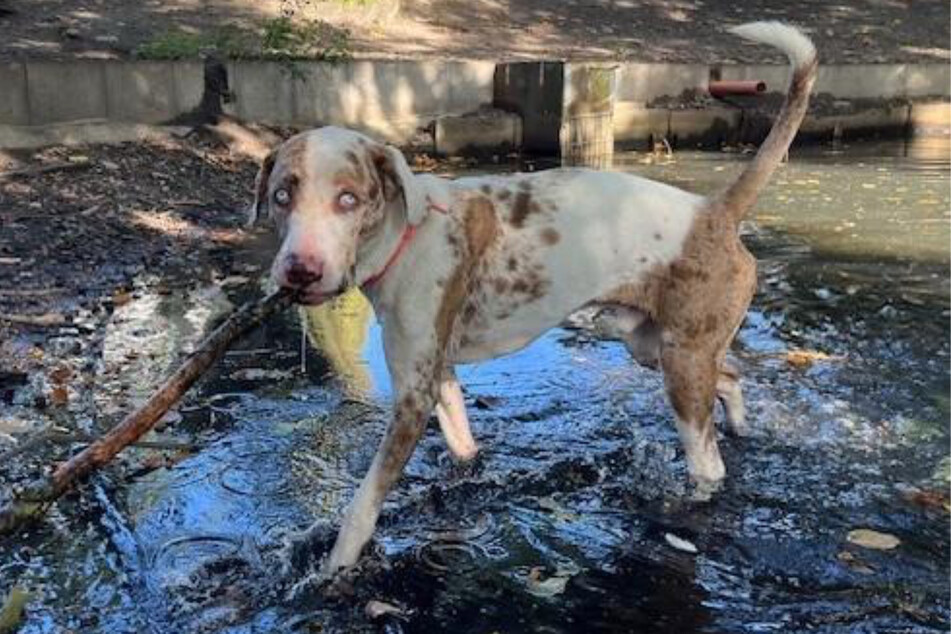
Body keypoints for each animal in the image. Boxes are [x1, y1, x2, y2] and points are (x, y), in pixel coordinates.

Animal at [247, 22, 820, 576]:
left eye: (349, 198)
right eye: (282, 195)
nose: (300, 270)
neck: (406, 232)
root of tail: (715, 210)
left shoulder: (411, 400)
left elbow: (362, 505)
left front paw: (333, 569)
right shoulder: (438, 374)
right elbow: (463, 445)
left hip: (680, 363)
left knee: (708, 461)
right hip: (654, 346)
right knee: (730, 377)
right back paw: (740, 423)